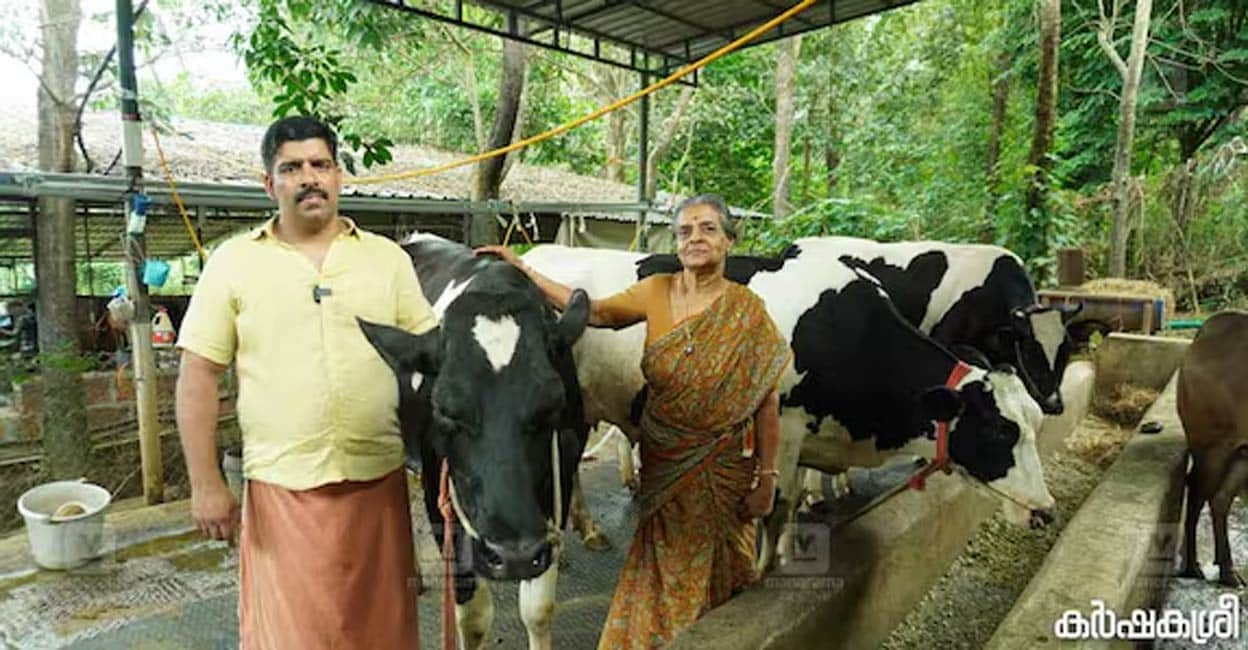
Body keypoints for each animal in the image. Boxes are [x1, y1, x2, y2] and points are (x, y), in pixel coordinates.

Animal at [361, 233, 589, 648]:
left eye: (554, 403)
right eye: (445, 410)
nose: (514, 555)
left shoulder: (561, 476)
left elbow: (538, 609)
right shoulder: (440, 494)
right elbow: (473, 617)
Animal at [521, 242, 1058, 568]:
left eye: (1031, 425)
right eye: (1001, 431)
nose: (1046, 512)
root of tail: (543, 250)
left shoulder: (807, 437)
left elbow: (793, 501)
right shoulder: (782, 430)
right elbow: (775, 506)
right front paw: (759, 574)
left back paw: (589, 526)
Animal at [1178, 306, 1248, 586]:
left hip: (1240, 452)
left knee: (1219, 498)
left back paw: (1227, 570)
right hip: (1212, 447)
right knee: (1197, 492)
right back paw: (1192, 566)